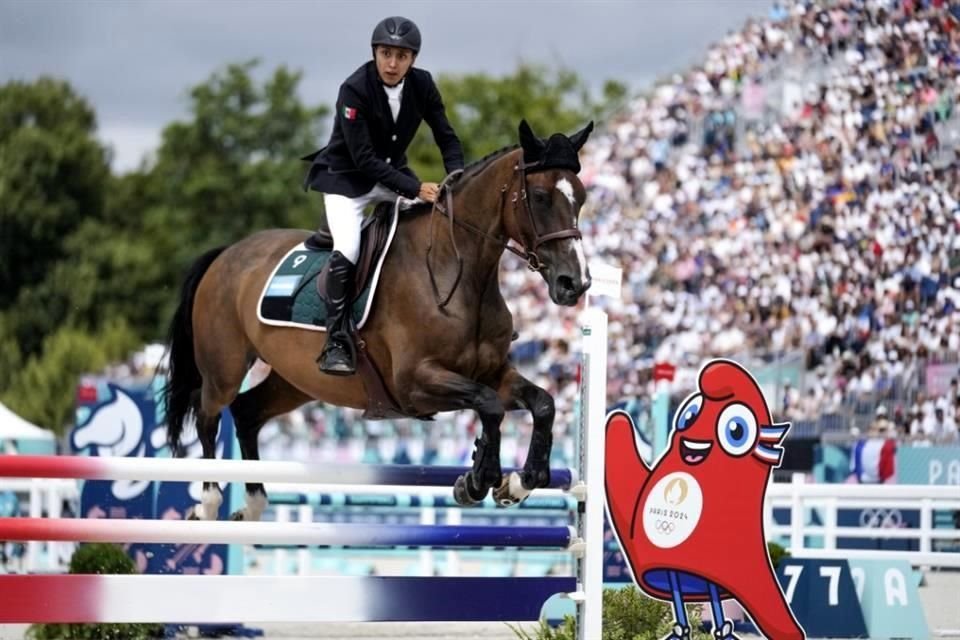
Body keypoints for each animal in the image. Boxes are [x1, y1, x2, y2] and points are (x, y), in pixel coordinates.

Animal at [163, 119, 592, 520]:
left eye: (582, 198)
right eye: (540, 197)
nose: (575, 283)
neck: (458, 274)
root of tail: (227, 253)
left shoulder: (491, 373)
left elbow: (542, 404)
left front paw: (519, 482)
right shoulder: (415, 383)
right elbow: (488, 406)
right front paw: (477, 480)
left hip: (295, 381)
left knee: (247, 413)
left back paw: (252, 505)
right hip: (225, 367)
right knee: (208, 415)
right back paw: (207, 504)